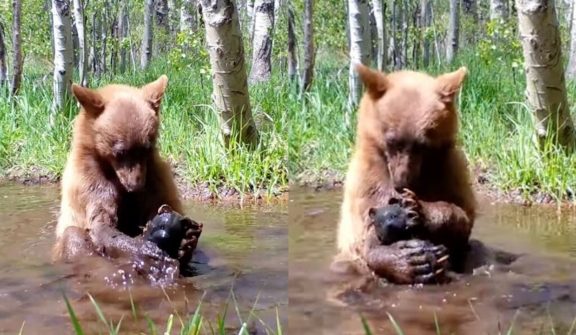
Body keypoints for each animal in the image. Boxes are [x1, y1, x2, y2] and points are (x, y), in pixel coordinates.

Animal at [52, 77, 196, 280]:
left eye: (147, 148)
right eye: (120, 151)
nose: (136, 186)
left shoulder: (155, 177)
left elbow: (161, 203)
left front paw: (186, 241)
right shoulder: (89, 181)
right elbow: (100, 222)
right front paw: (145, 249)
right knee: (73, 236)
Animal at [332, 63, 476, 286]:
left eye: (422, 145)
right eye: (392, 141)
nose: (402, 182)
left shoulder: (448, 170)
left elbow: (462, 216)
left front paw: (418, 208)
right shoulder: (368, 179)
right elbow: (367, 229)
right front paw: (407, 261)